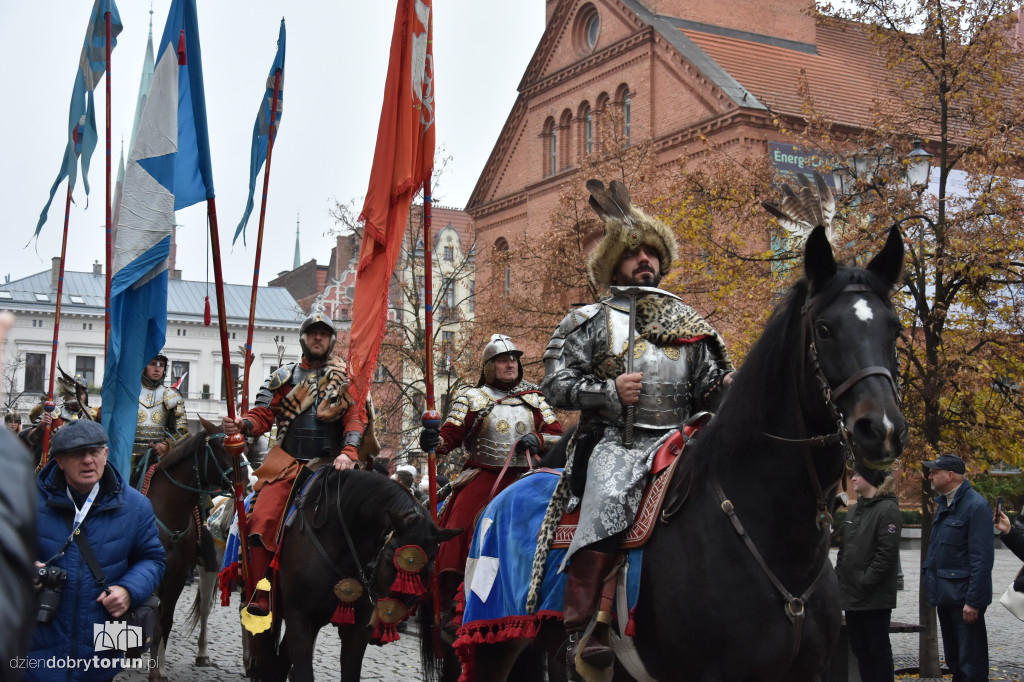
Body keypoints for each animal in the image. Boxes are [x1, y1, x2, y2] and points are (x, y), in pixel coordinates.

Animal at [253, 466, 462, 679]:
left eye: (430, 567)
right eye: (389, 556)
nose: (383, 627)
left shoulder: (357, 629)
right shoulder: (299, 617)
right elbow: (303, 673)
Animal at [464, 224, 905, 679]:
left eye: (896, 329)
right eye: (824, 329)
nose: (882, 429)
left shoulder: (807, 671)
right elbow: (561, 379)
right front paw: (623, 389)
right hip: (495, 643)